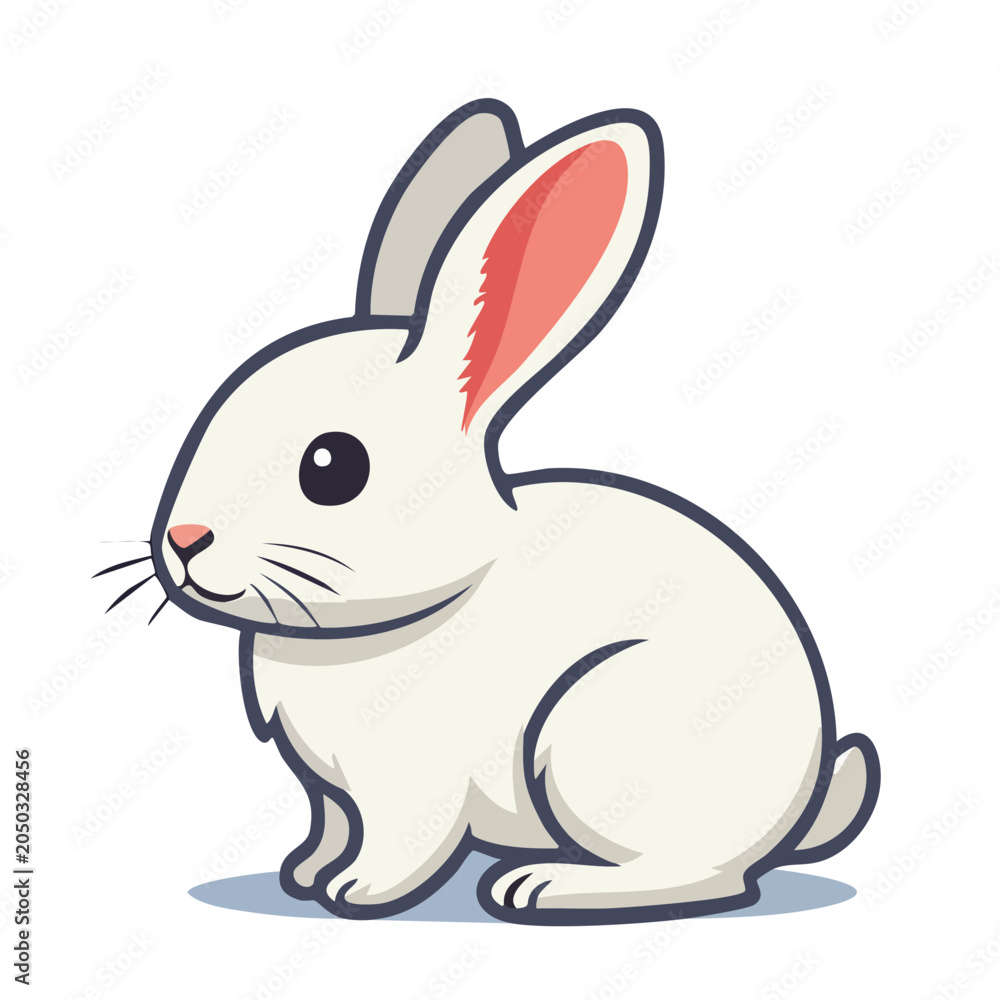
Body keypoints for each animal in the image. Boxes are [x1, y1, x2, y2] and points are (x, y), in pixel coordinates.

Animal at [147, 100, 879, 924]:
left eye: (332, 468)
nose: (183, 540)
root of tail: (793, 805)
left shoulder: (409, 785)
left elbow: (398, 843)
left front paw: (354, 891)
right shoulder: (331, 793)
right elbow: (331, 823)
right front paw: (305, 874)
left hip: (595, 734)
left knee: (708, 876)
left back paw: (543, 885)